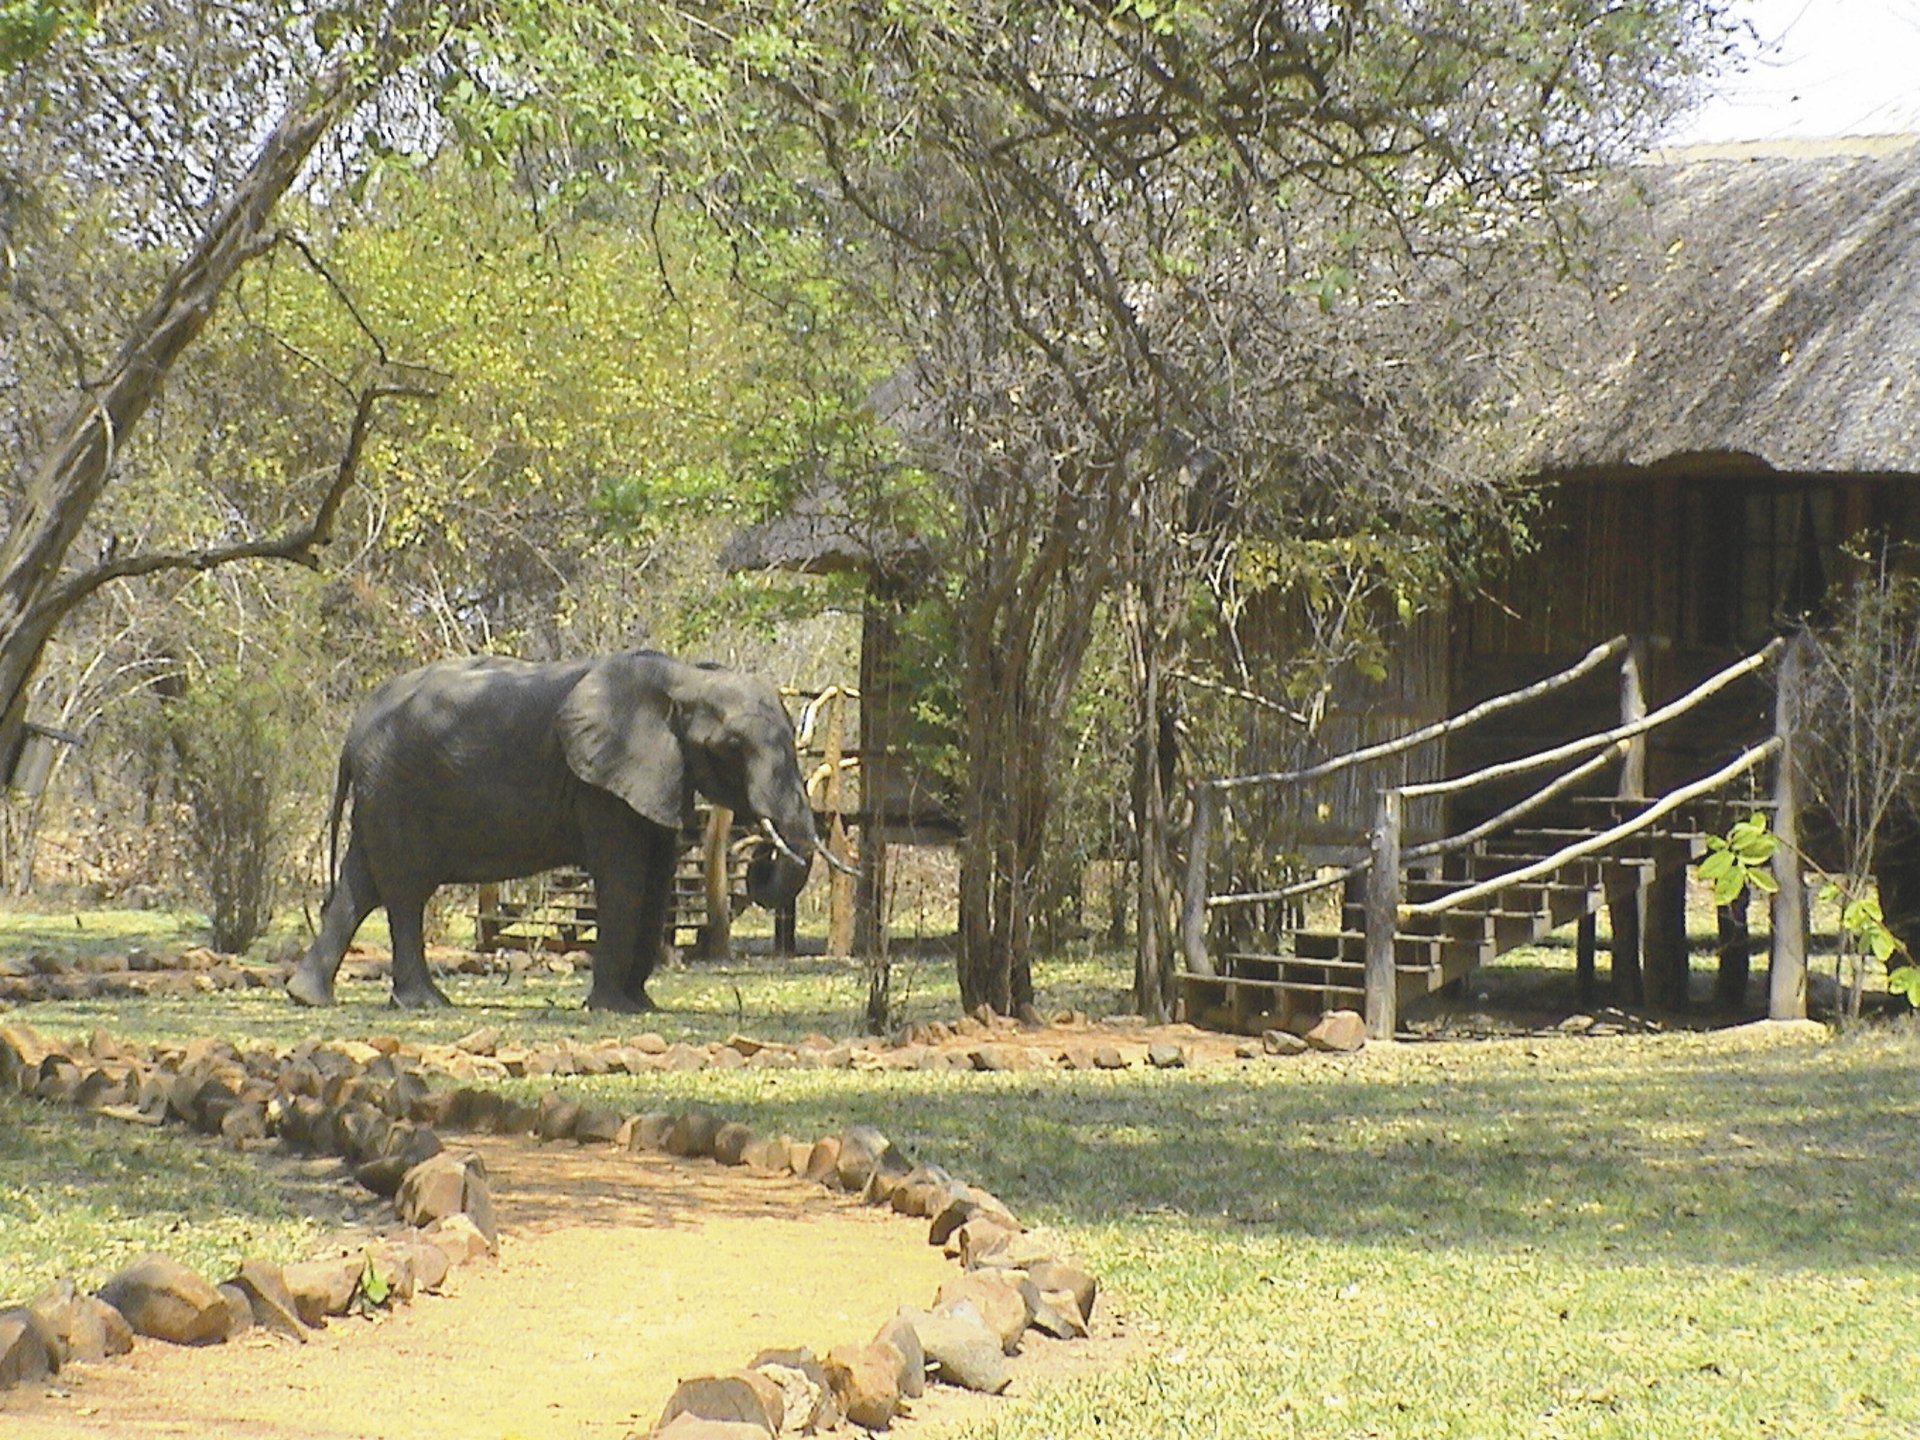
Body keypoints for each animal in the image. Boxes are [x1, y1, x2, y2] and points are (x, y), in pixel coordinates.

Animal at [286, 650, 845, 1010]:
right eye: (731, 748)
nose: (759, 856)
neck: (686, 677)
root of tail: (352, 734)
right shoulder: (600, 781)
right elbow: (624, 875)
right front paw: (612, 1008)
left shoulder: (656, 774)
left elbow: (658, 876)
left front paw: (641, 1006)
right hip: (396, 787)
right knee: (404, 891)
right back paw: (424, 1004)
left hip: (382, 789)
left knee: (361, 883)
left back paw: (307, 997)